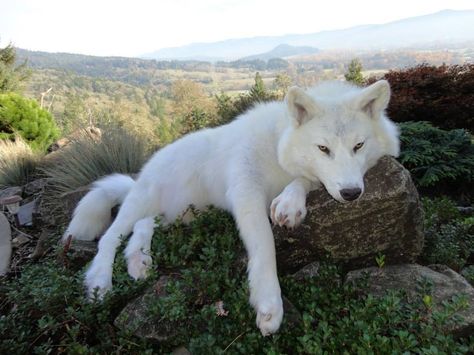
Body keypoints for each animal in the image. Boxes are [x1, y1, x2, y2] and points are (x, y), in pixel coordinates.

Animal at [64, 80, 400, 336]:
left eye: (359, 146)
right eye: (323, 148)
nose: (351, 194)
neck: (275, 145)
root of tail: (138, 177)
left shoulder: (304, 179)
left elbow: (303, 182)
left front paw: (290, 203)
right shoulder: (245, 193)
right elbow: (265, 246)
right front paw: (269, 304)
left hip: (175, 216)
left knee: (142, 227)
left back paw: (139, 262)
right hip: (143, 201)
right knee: (110, 238)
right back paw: (100, 282)